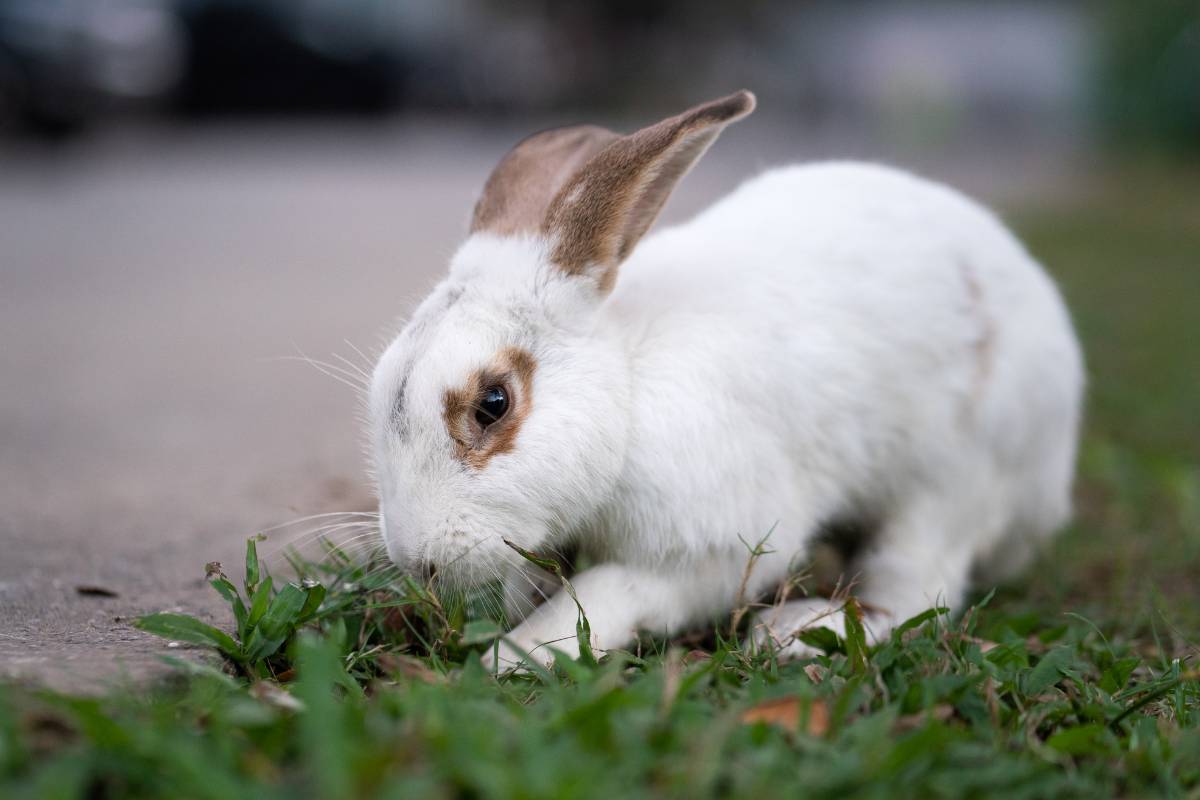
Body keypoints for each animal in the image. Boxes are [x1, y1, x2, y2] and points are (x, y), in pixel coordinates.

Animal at [366, 90, 1084, 669]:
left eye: (493, 403)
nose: (418, 562)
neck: (628, 393)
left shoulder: (717, 547)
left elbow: (606, 593)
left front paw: (515, 656)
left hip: (950, 485)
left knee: (912, 591)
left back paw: (799, 628)